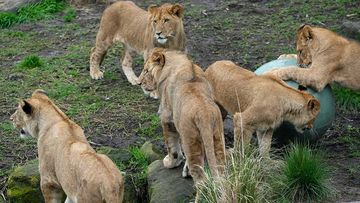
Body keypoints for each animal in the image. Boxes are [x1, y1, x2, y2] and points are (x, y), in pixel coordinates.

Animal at [138, 48, 225, 194]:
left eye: (146, 70)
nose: (139, 83)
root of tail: (204, 114)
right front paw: (185, 169)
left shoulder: (167, 117)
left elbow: (172, 145)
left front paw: (170, 162)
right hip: (217, 139)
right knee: (221, 174)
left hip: (190, 139)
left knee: (202, 181)